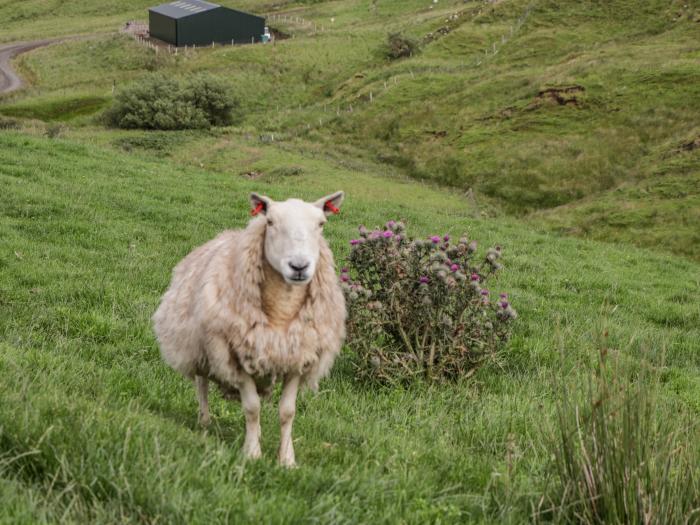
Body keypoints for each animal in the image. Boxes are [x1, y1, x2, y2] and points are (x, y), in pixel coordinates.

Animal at [155, 190, 348, 464]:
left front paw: (286, 459)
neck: (282, 310)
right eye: (270, 222)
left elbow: (287, 412)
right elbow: (252, 407)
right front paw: (253, 454)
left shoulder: (299, 356)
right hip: (198, 344)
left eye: (321, 224)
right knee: (202, 383)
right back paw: (204, 421)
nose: (299, 266)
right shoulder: (234, 354)